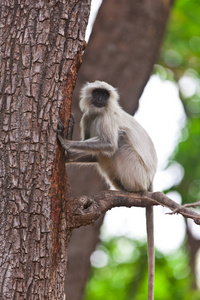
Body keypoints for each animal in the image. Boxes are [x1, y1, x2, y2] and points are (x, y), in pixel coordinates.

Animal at [57, 79, 158, 300]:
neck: (100, 112)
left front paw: (65, 141)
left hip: (136, 171)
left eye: (105, 95)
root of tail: (149, 180)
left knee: (119, 139)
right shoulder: (88, 116)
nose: (100, 99)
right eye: (97, 93)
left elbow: (110, 145)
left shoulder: (106, 117)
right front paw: (68, 150)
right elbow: (95, 154)